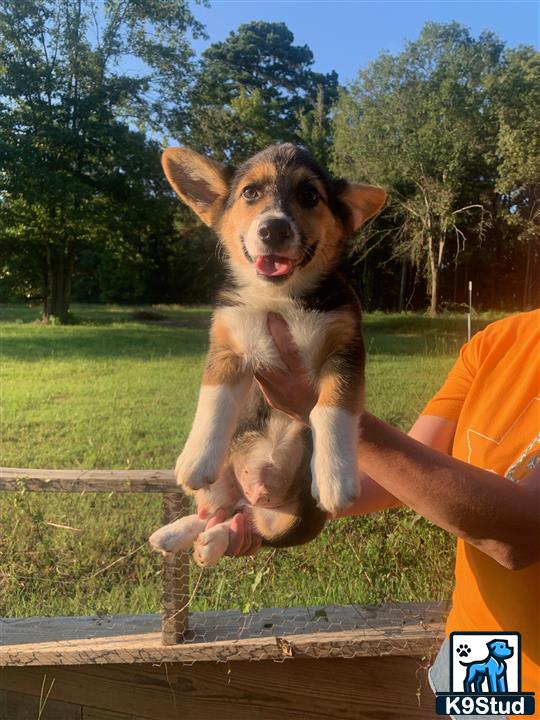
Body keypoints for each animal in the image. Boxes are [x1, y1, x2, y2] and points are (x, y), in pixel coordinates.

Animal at [150, 143, 386, 564]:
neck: (279, 297)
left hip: (295, 524)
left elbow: (332, 409)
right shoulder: (227, 350)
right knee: (217, 512)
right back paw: (177, 535)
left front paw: (336, 477)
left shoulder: (345, 351)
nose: (273, 229)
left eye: (309, 194)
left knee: (249, 527)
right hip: (219, 485)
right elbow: (214, 402)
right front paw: (196, 458)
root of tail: (255, 494)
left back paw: (210, 543)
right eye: (250, 192)